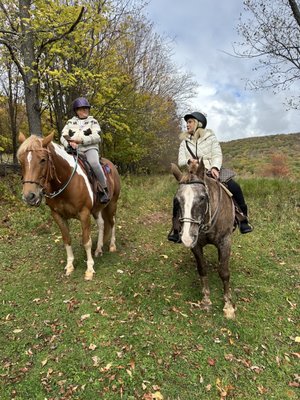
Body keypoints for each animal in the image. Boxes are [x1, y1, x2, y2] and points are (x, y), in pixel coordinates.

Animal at [17, 133, 120, 280]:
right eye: (21, 161)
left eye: (43, 160)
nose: (29, 196)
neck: (66, 181)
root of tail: (111, 165)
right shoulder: (57, 215)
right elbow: (66, 240)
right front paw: (70, 266)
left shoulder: (84, 213)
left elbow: (86, 241)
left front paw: (89, 269)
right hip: (97, 209)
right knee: (101, 224)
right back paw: (99, 249)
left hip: (112, 203)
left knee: (112, 222)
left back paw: (112, 246)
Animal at [171, 159, 237, 318]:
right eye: (177, 200)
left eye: (202, 198)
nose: (186, 237)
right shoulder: (196, 246)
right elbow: (202, 269)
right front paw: (206, 299)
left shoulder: (225, 242)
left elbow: (224, 272)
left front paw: (228, 305)